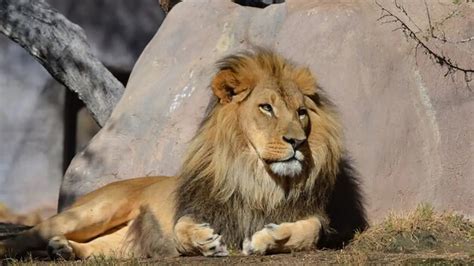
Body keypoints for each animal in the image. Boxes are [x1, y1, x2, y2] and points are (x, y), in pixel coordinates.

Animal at [0, 48, 366, 260]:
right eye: (266, 108)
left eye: (301, 112)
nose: (297, 142)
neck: (257, 179)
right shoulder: (198, 207)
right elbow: (181, 228)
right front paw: (205, 242)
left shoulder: (313, 215)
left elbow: (309, 231)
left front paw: (266, 239)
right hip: (95, 211)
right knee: (29, 233)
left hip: (120, 243)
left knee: (98, 251)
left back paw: (64, 249)